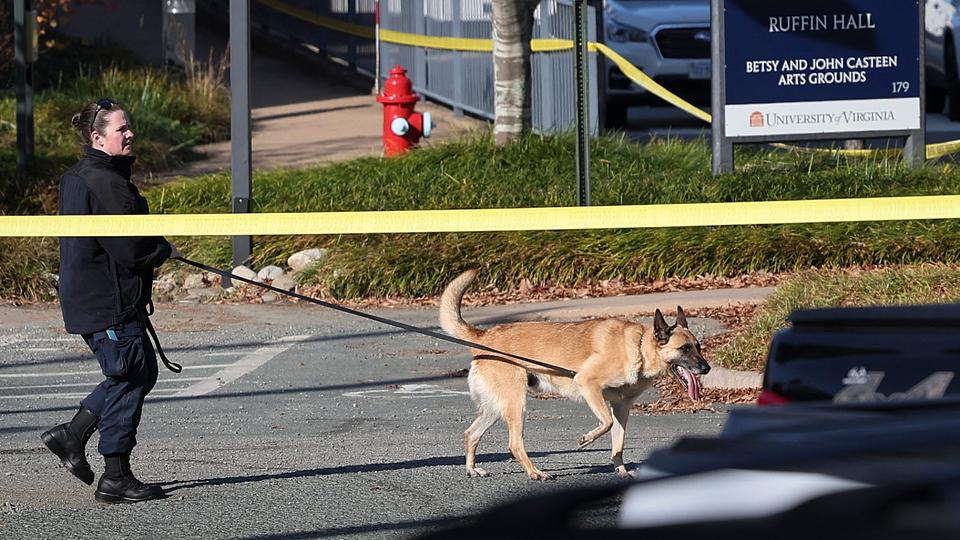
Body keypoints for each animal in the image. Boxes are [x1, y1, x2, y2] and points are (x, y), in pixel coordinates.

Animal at [438, 272, 708, 478]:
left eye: (698, 347)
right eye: (685, 349)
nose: (706, 369)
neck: (639, 347)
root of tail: (485, 337)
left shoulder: (622, 407)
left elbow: (618, 442)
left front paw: (621, 470)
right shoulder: (589, 385)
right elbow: (606, 423)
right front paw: (586, 439)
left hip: (496, 408)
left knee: (471, 434)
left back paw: (472, 469)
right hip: (516, 404)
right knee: (514, 444)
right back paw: (535, 472)